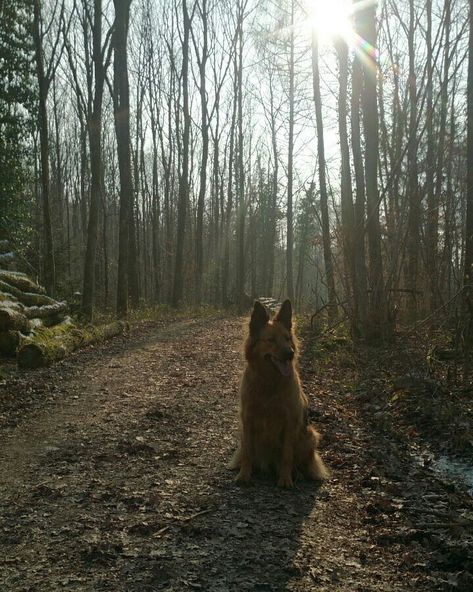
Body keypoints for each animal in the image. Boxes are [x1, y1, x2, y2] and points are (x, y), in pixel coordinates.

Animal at [230, 298, 328, 488]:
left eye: (287, 338)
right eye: (271, 340)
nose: (290, 353)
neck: (269, 382)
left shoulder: (290, 422)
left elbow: (287, 455)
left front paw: (285, 479)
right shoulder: (248, 419)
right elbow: (247, 452)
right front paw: (244, 475)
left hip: (309, 436)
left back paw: (297, 474)